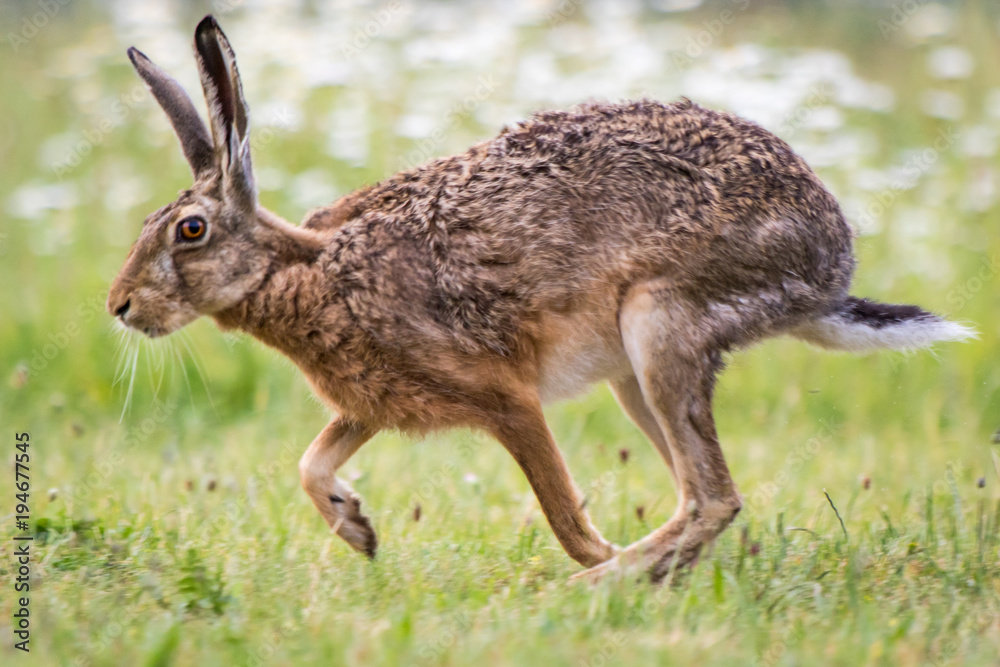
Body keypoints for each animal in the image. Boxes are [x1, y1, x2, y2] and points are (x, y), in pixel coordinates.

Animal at [107, 15, 973, 582]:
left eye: (189, 230)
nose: (119, 306)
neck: (307, 268)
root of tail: (828, 265)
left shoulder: (504, 398)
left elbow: (561, 508)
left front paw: (596, 557)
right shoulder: (375, 401)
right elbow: (310, 459)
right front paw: (357, 529)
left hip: (660, 321)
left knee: (712, 497)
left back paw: (603, 583)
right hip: (637, 373)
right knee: (705, 494)